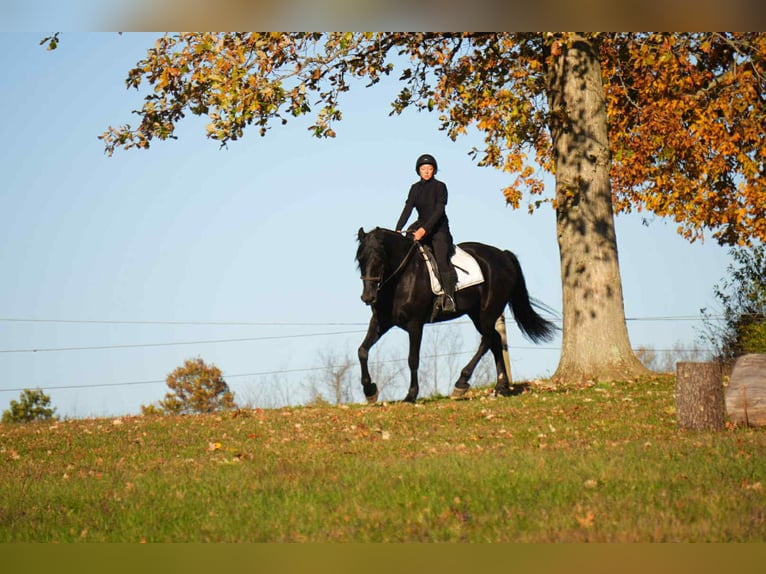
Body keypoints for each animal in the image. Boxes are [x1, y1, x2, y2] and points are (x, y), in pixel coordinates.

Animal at [355, 227, 558, 403]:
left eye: (379, 258)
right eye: (360, 260)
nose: (368, 297)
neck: (402, 278)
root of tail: (503, 255)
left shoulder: (415, 324)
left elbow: (413, 359)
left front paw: (411, 396)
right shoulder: (381, 321)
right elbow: (362, 351)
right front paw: (370, 391)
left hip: (488, 311)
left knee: (486, 341)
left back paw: (461, 384)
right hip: (476, 314)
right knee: (495, 340)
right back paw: (501, 387)